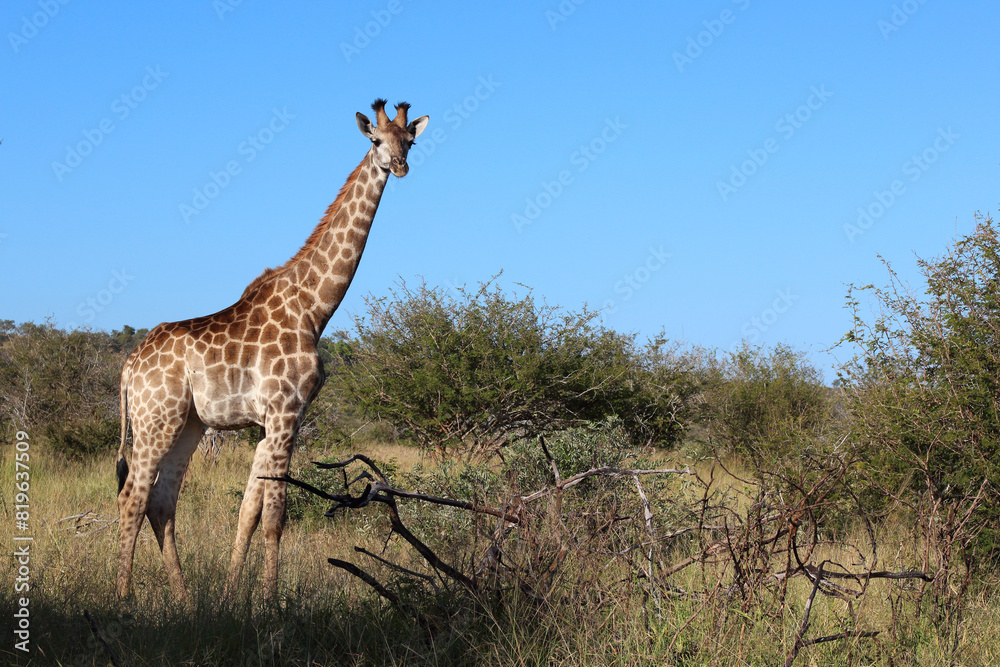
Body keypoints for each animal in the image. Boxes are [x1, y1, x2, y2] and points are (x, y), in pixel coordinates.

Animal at [115, 99, 428, 602]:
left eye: (411, 141)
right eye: (376, 140)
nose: (399, 166)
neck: (314, 308)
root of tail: (129, 365)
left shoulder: (272, 423)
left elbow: (248, 512)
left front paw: (230, 597)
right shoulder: (285, 413)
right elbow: (276, 516)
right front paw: (270, 603)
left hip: (188, 425)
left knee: (161, 503)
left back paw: (183, 600)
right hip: (154, 421)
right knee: (133, 497)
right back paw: (124, 599)